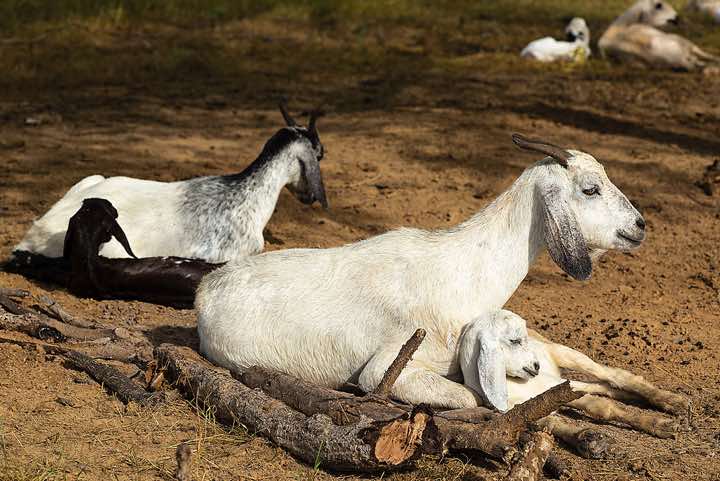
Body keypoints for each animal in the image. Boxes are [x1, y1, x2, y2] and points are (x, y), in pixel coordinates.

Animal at [196, 133, 646, 411]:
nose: (639, 225)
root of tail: (206, 290)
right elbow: (467, 397)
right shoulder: (385, 368)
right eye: (590, 189)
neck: (466, 271)